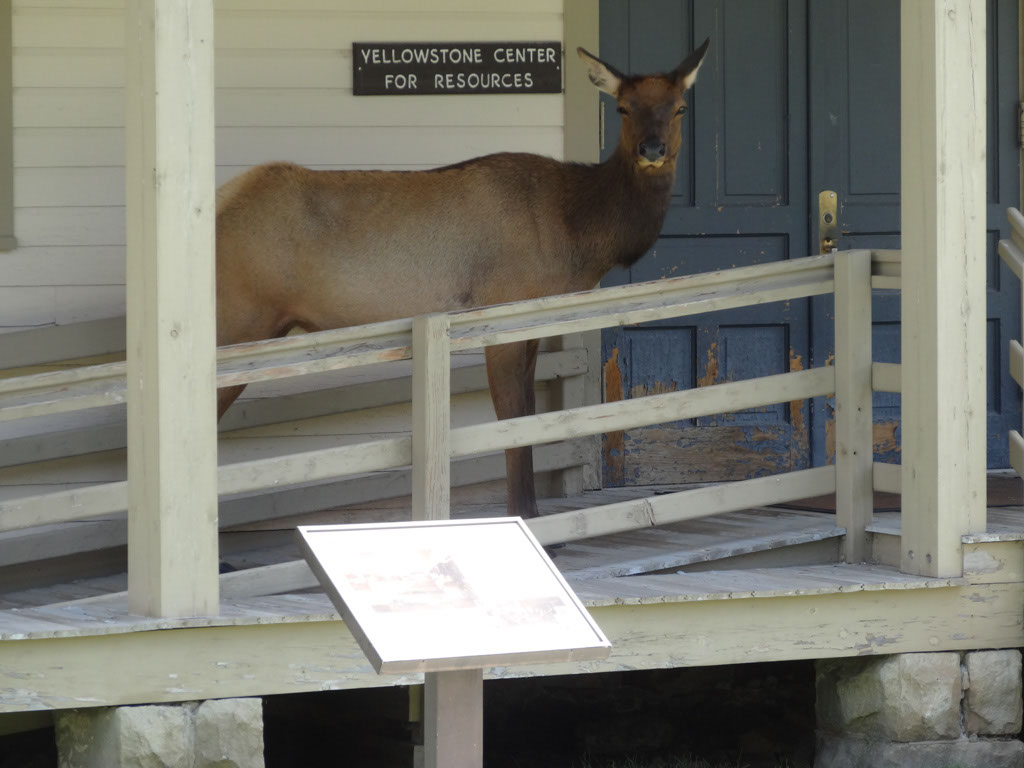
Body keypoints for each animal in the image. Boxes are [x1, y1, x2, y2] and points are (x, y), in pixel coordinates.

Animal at [216, 37, 712, 518]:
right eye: (623, 107)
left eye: (680, 107)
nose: (652, 150)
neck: (575, 234)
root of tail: (220, 200)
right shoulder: (500, 309)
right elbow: (510, 422)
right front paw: (523, 513)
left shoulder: (532, 324)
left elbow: (529, 417)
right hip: (239, 323)